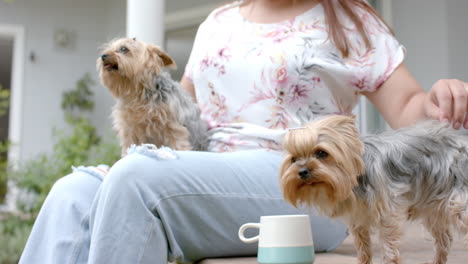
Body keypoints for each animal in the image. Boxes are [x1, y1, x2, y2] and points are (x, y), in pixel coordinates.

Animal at [280, 115, 468, 264]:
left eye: (321, 153)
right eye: (294, 159)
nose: (302, 171)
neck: (356, 179)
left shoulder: (387, 213)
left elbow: (388, 245)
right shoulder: (358, 217)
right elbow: (363, 246)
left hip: (457, 203)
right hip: (431, 205)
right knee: (444, 238)